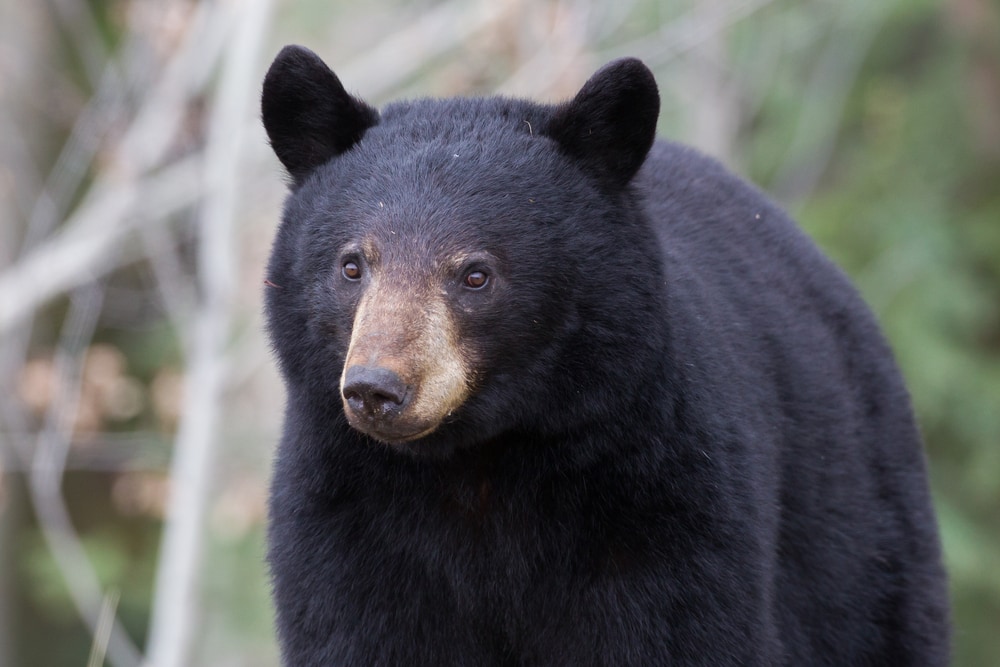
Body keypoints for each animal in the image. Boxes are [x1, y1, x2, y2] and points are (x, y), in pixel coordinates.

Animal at [260, 44, 950, 666]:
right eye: (352, 265)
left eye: (476, 274)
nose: (377, 388)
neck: (477, 464)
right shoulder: (347, 522)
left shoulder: (663, 505)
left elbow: (674, 632)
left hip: (859, 539)